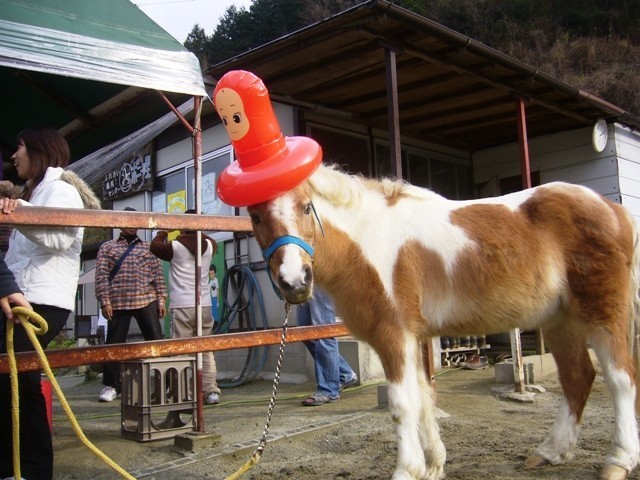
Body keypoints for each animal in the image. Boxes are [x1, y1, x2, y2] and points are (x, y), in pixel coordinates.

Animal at [246, 163, 640, 480]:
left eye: (305, 206)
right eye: (255, 217)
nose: (295, 282)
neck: (369, 241)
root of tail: (613, 208)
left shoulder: (395, 337)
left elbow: (402, 404)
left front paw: (407, 470)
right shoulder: (411, 339)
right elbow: (423, 397)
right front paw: (434, 465)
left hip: (603, 313)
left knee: (621, 379)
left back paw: (618, 461)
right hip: (560, 321)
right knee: (578, 377)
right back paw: (549, 453)